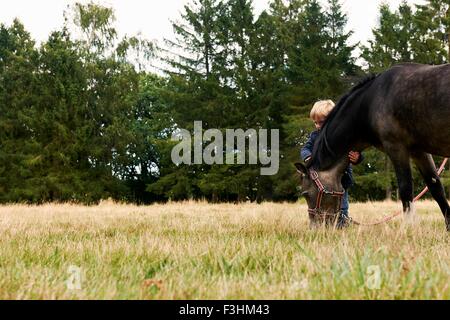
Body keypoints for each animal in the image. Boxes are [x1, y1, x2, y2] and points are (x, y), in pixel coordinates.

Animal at [296, 63, 450, 231]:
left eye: (306, 194)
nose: (315, 228)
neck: (370, 103)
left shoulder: (396, 147)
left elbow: (405, 188)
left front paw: (408, 228)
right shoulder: (419, 151)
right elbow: (436, 187)